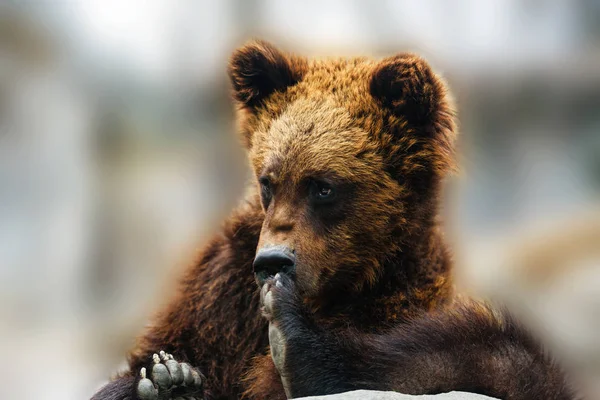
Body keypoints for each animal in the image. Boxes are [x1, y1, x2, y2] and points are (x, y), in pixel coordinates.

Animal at [91, 40, 576, 400]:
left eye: (323, 186)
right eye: (268, 182)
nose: (272, 263)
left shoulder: (394, 298)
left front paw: (291, 342)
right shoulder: (220, 294)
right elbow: (158, 356)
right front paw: (168, 377)